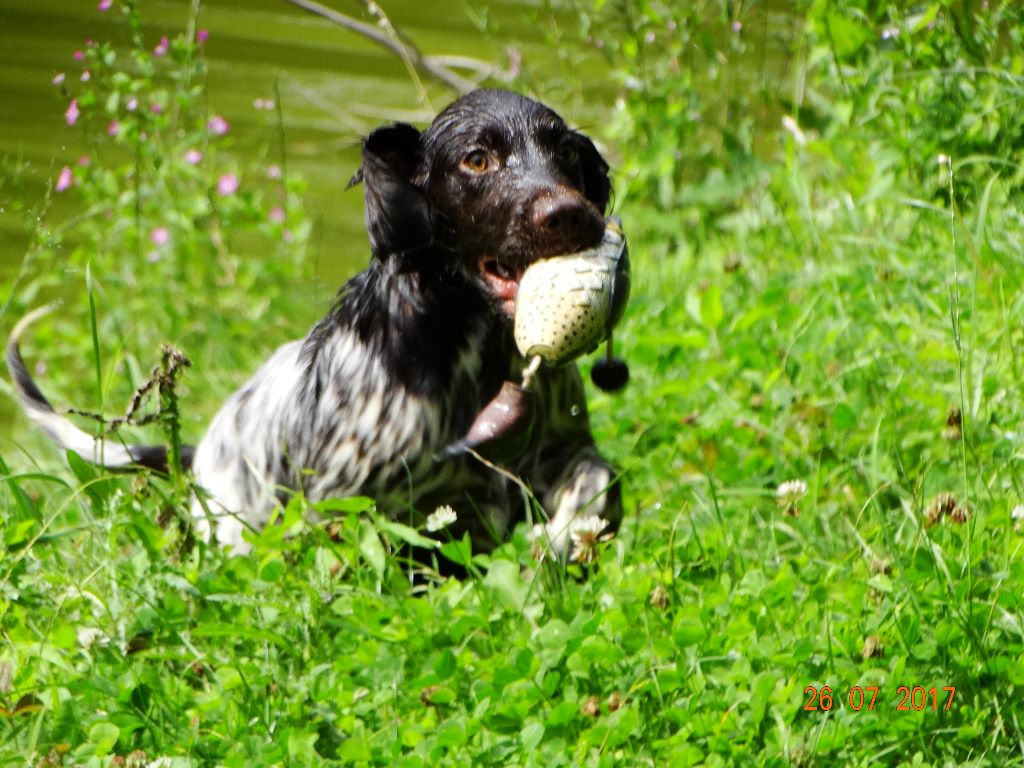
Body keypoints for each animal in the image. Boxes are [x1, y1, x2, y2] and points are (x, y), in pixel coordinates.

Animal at [8, 88, 622, 561]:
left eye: (566, 152)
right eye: (476, 160)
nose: (570, 215)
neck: (479, 355)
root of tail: (200, 458)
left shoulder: (557, 451)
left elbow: (597, 478)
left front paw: (566, 539)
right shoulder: (344, 499)